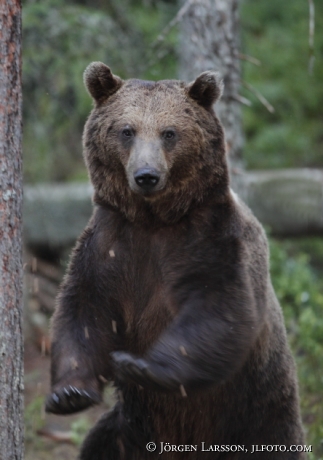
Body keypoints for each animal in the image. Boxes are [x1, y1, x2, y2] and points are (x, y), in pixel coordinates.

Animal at [45, 62, 306, 460]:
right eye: (127, 130)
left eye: (169, 132)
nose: (146, 176)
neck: (155, 221)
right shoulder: (109, 246)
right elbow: (85, 311)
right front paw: (69, 393)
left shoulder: (212, 241)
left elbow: (219, 309)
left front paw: (141, 366)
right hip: (131, 430)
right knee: (101, 443)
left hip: (257, 418)